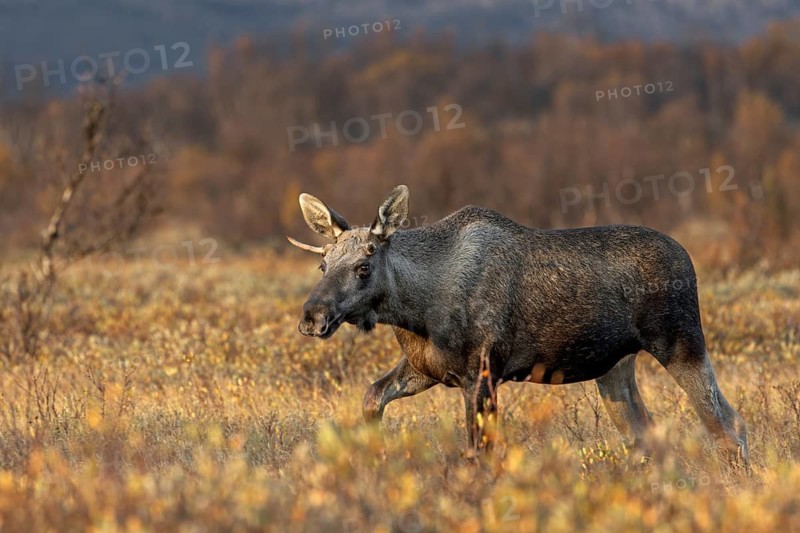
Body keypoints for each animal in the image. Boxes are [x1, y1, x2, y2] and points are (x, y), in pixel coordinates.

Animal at [287, 185, 749, 464]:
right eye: (322, 264)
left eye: (363, 267)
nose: (312, 317)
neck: (413, 311)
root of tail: (688, 259)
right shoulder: (426, 368)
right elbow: (372, 397)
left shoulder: (483, 373)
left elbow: (477, 454)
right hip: (615, 369)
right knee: (647, 434)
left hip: (680, 341)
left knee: (728, 423)